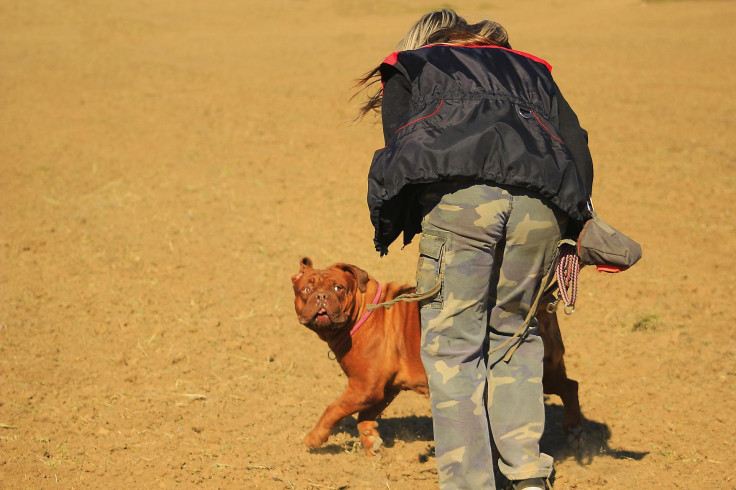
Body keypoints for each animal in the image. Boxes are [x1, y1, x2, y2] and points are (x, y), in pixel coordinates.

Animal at [290, 256, 584, 456]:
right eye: (306, 289)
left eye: (338, 288)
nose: (321, 296)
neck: (363, 311)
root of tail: (540, 305)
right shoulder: (382, 389)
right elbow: (365, 416)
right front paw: (372, 443)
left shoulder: (364, 386)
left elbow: (334, 409)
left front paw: (313, 438)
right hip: (548, 369)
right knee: (570, 386)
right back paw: (574, 430)